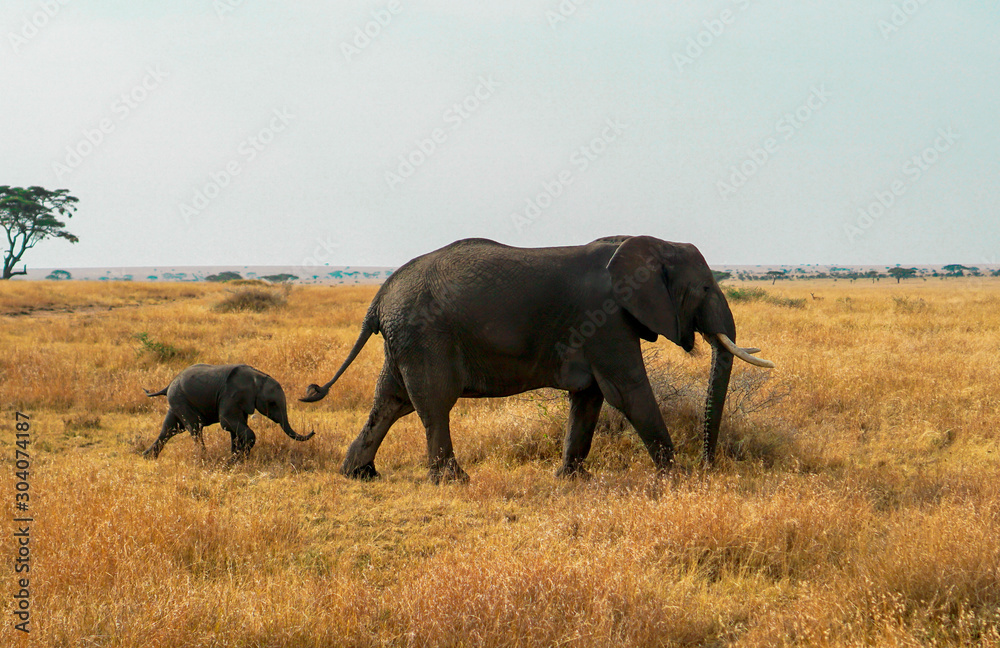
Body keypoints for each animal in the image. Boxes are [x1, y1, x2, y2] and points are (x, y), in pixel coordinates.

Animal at [143, 364, 314, 460]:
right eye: (272, 404)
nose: (313, 431)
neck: (257, 378)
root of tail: (169, 384)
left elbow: (235, 429)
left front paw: (237, 459)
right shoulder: (231, 395)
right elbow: (227, 422)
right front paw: (237, 459)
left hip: (178, 401)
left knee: (171, 429)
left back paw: (148, 457)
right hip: (180, 399)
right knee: (195, 428)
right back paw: (203, 458)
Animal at [301, 236, 774, 483]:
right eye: (705, 289)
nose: (709, 467)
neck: (651, 243)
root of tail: (380, 294)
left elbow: (589, 399)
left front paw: (571, 481)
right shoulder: (606, 319)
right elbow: (627, 392)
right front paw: (675, 480)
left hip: (404, 338)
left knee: (391, 402)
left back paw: (358, 473)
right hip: (423, 335)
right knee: (433, 405)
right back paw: (454, 480)